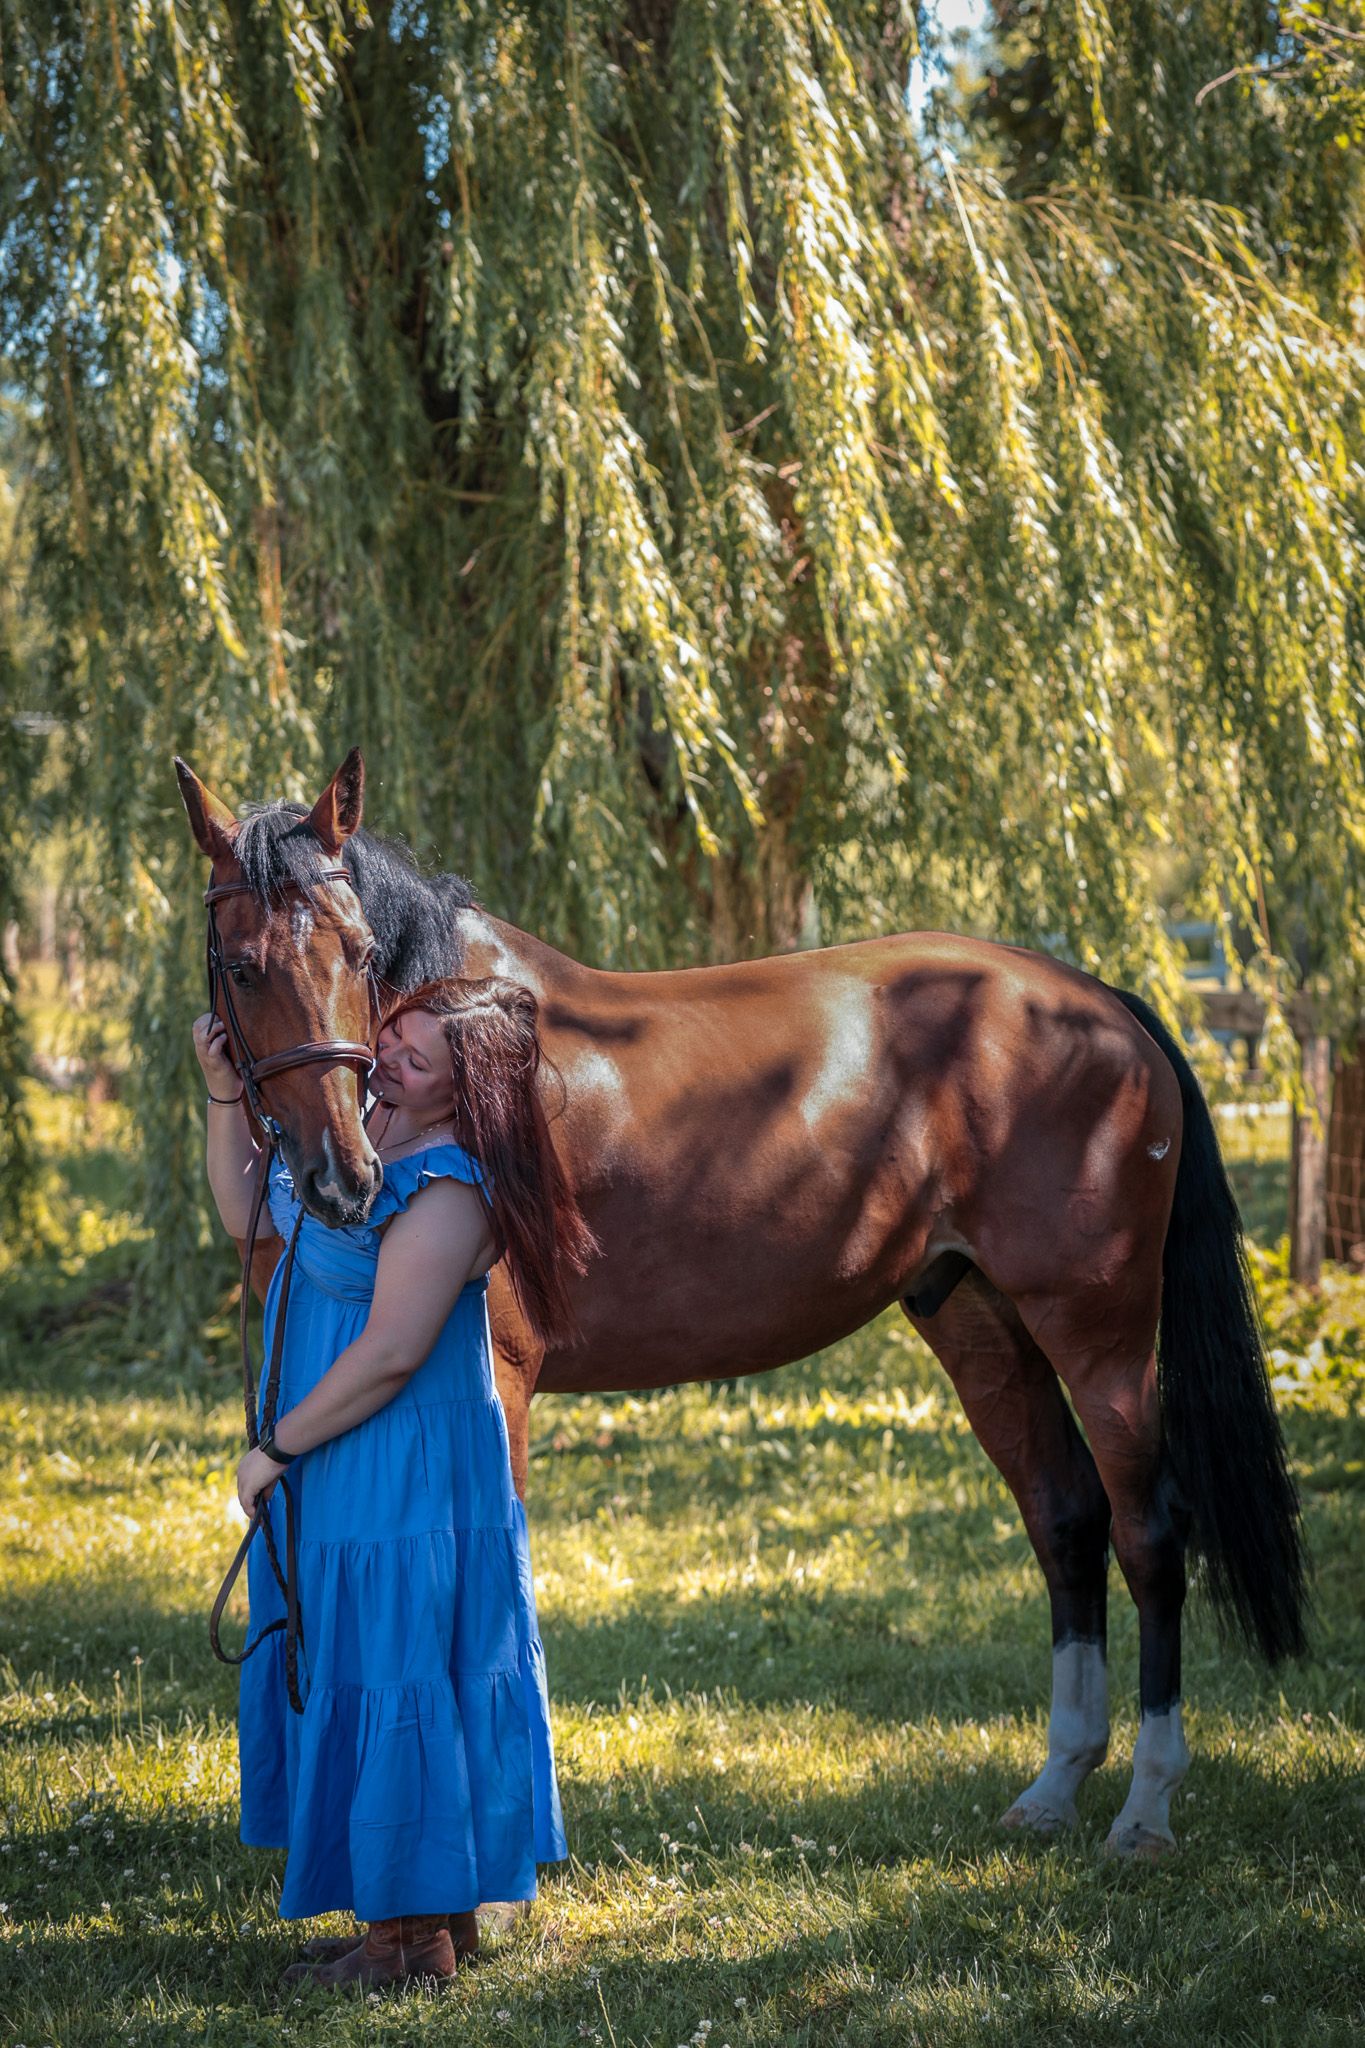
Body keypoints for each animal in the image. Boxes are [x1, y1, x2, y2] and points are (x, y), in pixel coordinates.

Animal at [176, 746, 1306, 1862]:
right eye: (242, 965)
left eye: (363, 954)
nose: (343, 1180)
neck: (461, 1038)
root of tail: (1099, 1001)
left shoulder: (496, 1371)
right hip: (977, 1316)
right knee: (1065, 1515)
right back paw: (1055, 1785)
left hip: (1099, 1330)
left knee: (1148, 1530)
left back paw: (1145, 1808)